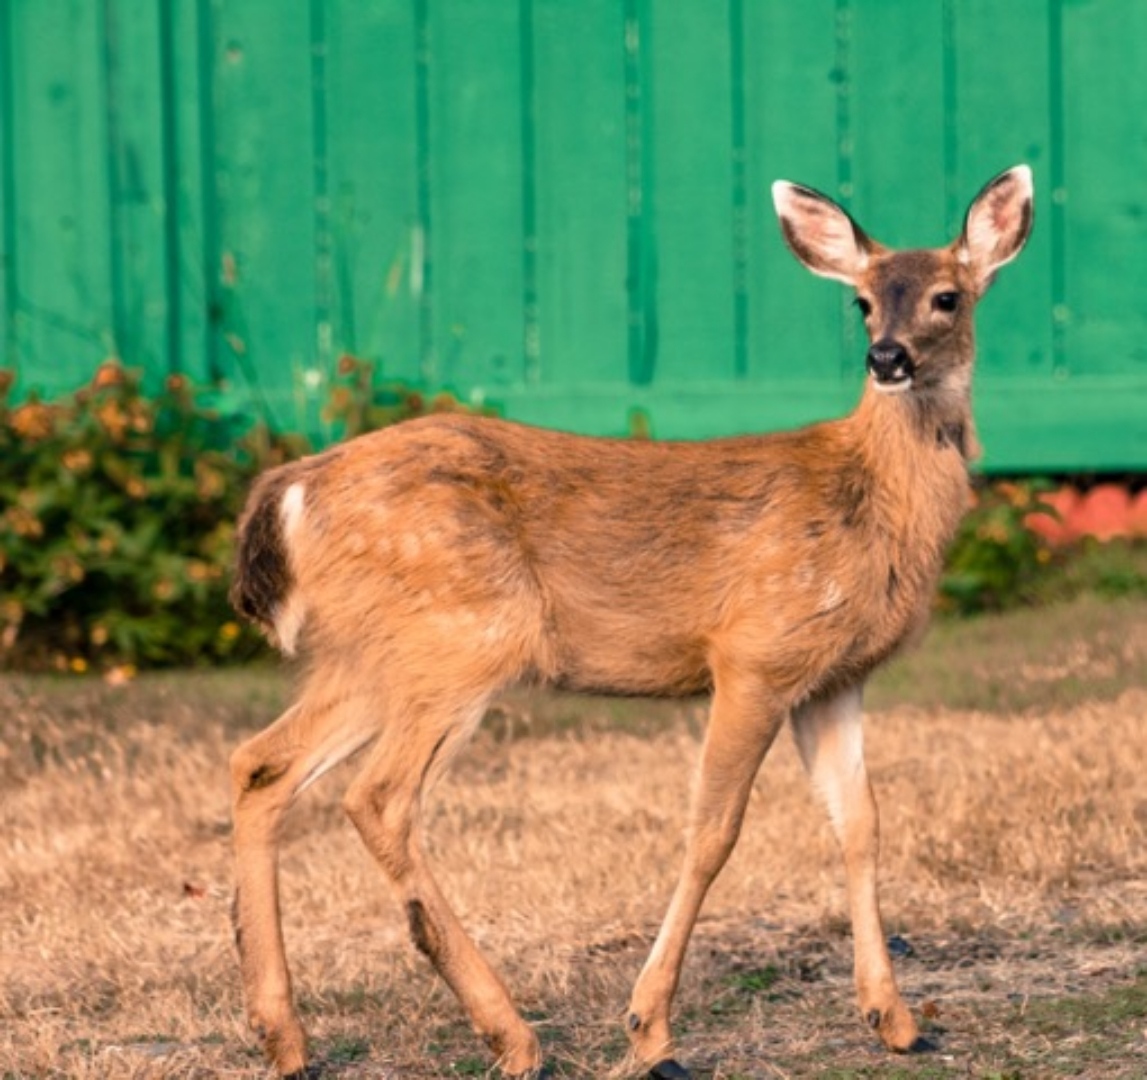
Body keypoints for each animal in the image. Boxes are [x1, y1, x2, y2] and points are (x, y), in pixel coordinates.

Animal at [228, 165, 1032, 1079]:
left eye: (945, 296)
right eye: (860, 301)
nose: (886, 357)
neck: (872, 501)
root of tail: (291, 489)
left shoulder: (834, 678)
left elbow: (860, 823)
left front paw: (894, 1020)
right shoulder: (753, 653)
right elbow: (712, 831)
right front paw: (650, 1031)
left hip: (378, 654)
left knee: (260, 765)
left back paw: (285, 1037)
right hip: (465, 634)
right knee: (378, 796)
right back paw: (512, 1037)